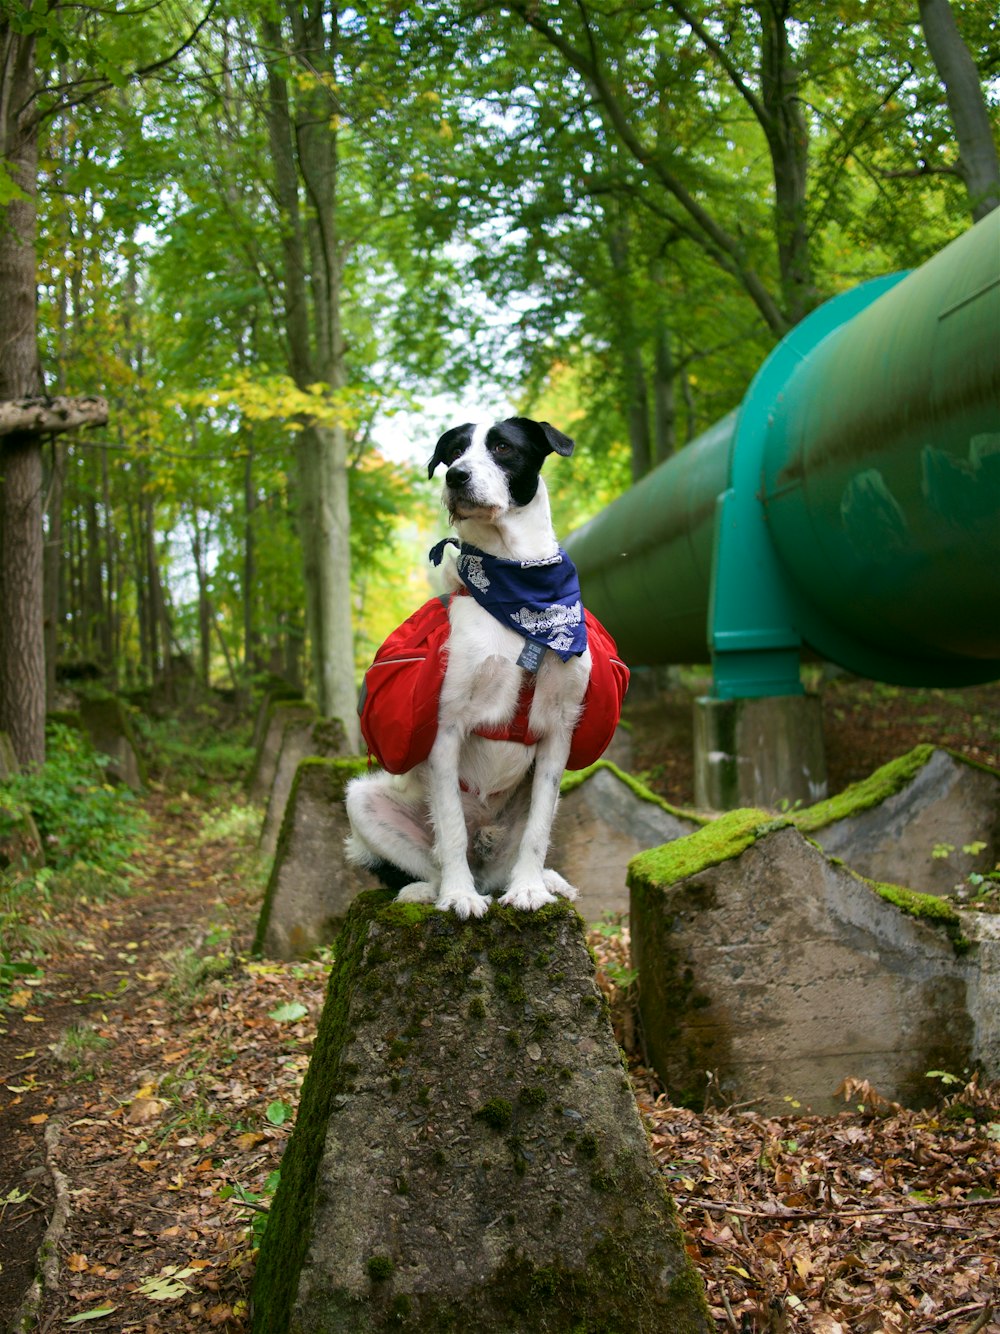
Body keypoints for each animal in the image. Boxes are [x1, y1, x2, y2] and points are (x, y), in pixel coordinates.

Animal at [346, 416, 594, 917]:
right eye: (454, 453)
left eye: (502, 447)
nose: (456, 477)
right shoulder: (446, 728)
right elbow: (451, 830)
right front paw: (458, 896)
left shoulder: (559, 733)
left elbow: (539, 830)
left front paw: (530, 889)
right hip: (361, 800)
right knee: (437, 855)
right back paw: (432, 890)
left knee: (507, 864)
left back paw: (542, 880)